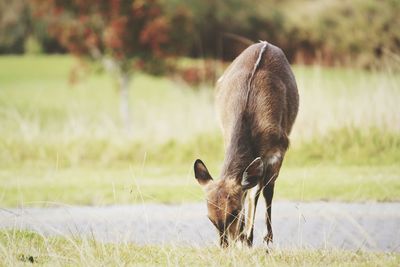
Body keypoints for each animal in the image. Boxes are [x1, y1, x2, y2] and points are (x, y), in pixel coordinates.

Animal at [192, 42, 298, 249]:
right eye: (209, 217)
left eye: (233, 212)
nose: (225, 245)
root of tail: (265, 43)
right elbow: (248, 188)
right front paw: (244, 237)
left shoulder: (279, 149)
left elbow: (262, 190)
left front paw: (257, 238)